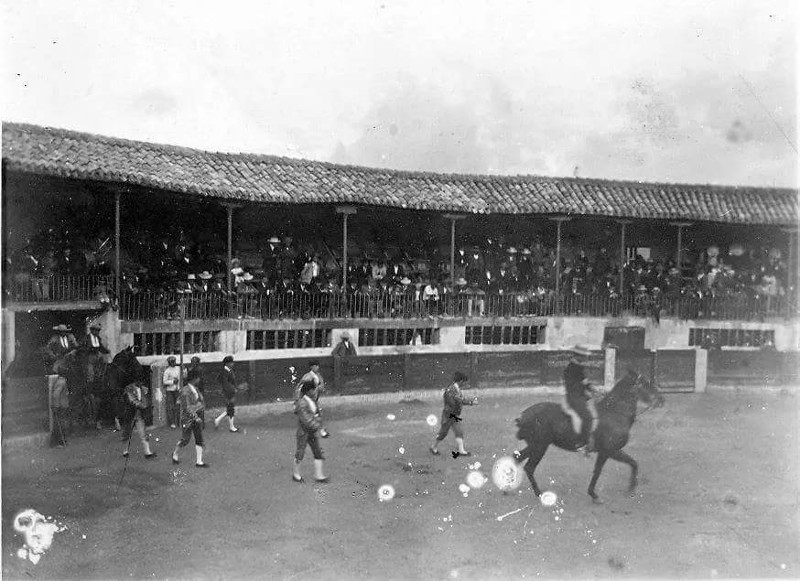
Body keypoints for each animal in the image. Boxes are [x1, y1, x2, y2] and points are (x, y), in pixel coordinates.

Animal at [516, 372, 664, 502]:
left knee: (517, 458)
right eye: (646, 383)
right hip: (540, 446)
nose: (662, 399)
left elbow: (631, 463)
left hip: (535, 446)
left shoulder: (609, 451)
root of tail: (523, 416)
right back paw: (539, 493)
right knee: (529, 467)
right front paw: (596, 494)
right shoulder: (609, 451)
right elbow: (601, 471)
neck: (615, 413)